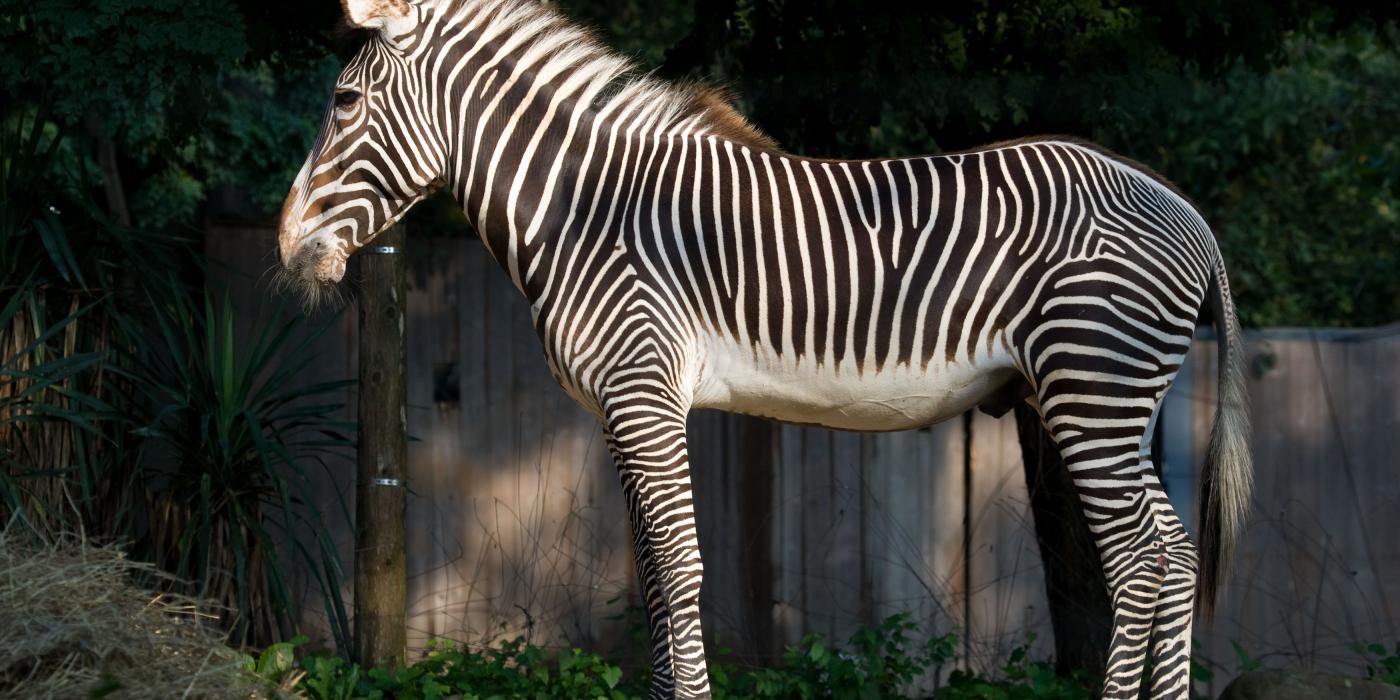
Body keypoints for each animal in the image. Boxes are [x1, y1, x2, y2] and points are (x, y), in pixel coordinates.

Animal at [273, 2, 1248, 697]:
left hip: (1091, 390)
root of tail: (1189, 212)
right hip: (1114, 403)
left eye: (343, 103)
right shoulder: (625, 408)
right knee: (1175, 557)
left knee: (1141, 562)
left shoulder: (642, 392)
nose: (285, 247)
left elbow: (679, 569)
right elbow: (653, 578)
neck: (583, 209)